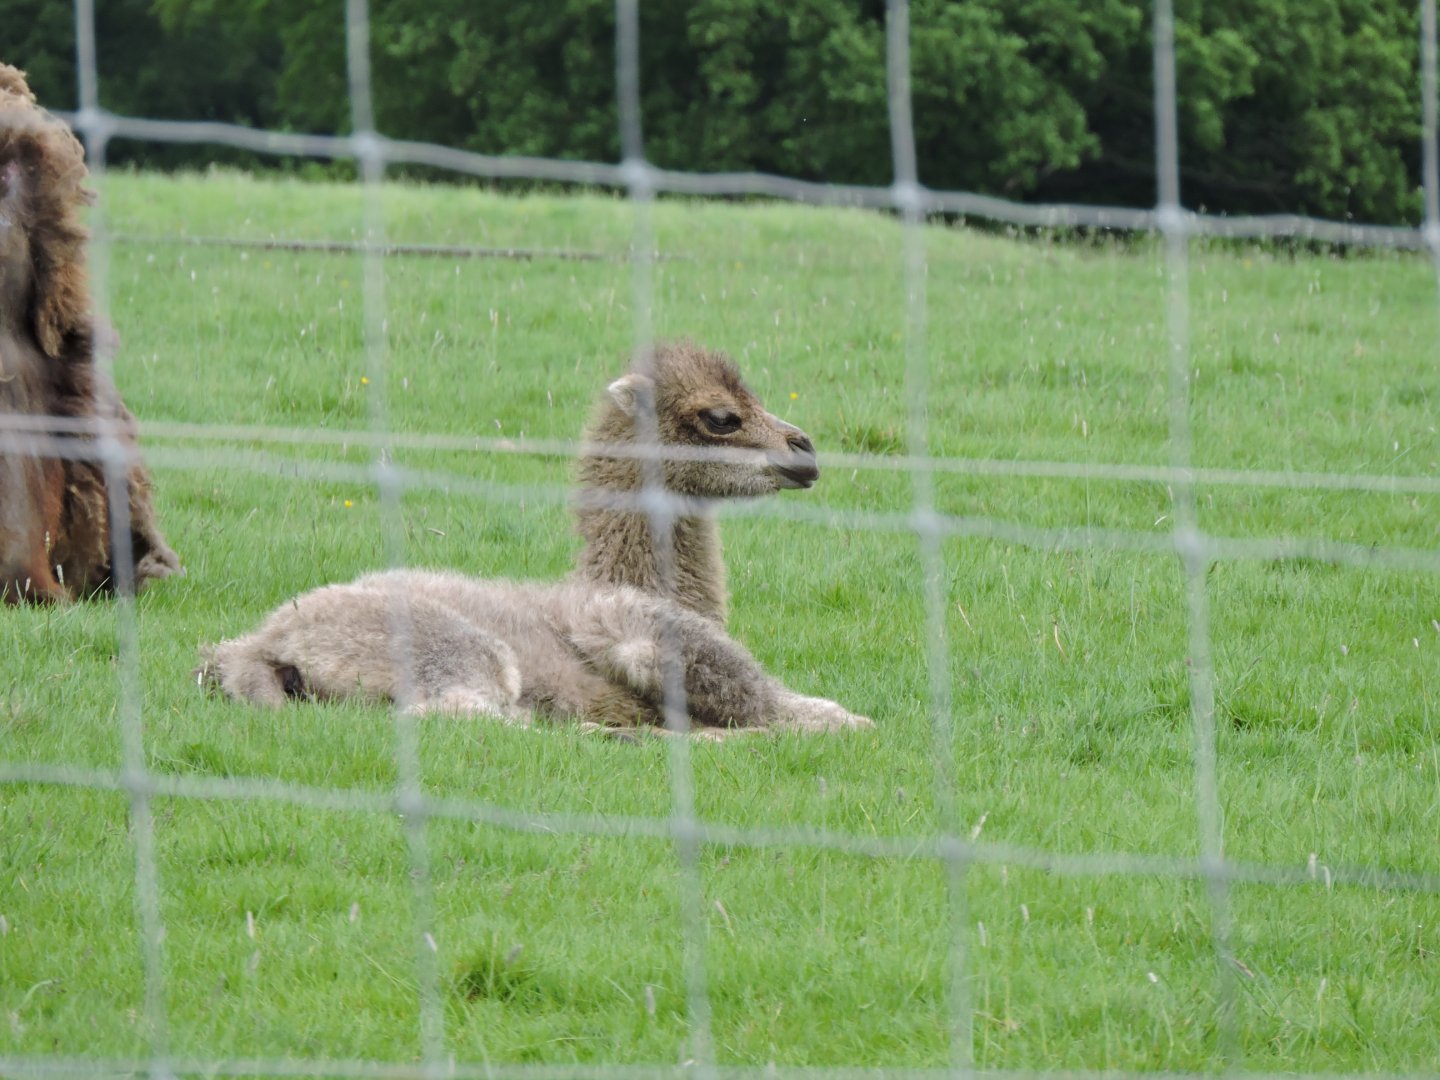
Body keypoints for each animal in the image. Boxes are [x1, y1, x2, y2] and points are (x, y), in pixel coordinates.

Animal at [202, 345, 870, 737]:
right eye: (721, 417)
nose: (804, 452)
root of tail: (260, 646)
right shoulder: (639, 629)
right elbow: (812, 710)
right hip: (464, 653)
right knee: (465, 714)